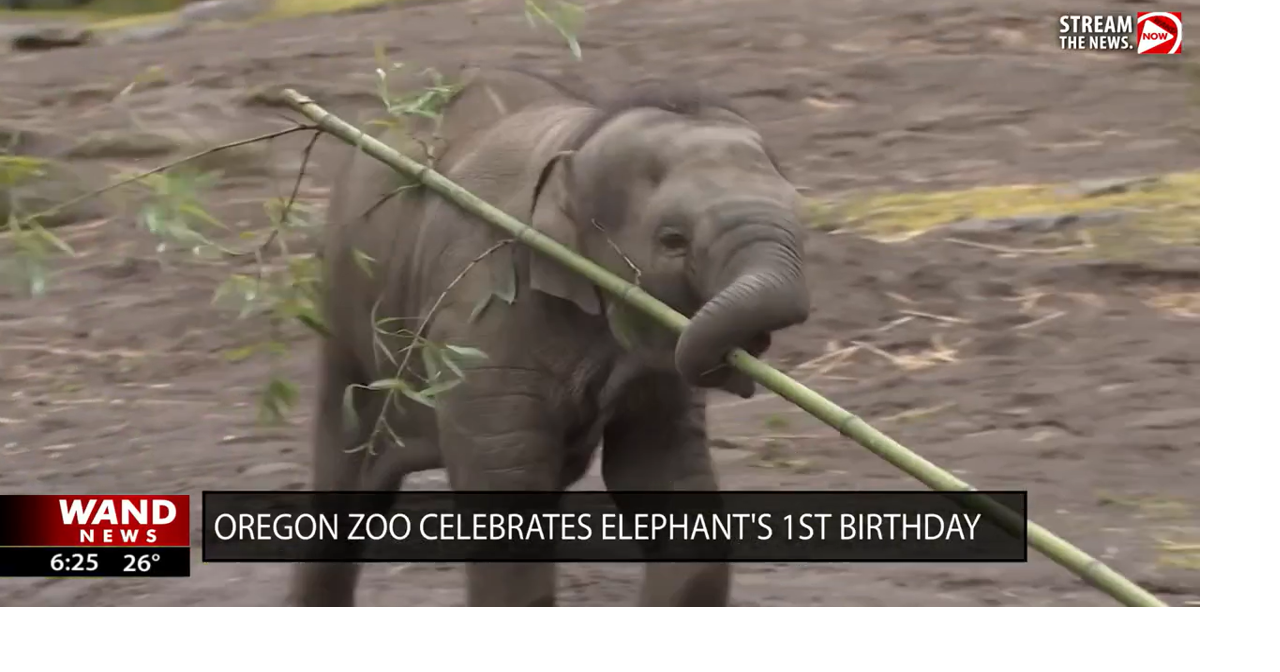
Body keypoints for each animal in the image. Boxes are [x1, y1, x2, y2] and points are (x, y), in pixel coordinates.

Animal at [289, 66, 812, 607]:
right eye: (673, 240)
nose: (741, 366)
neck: (577, 143)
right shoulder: (484, 319)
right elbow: (508, 500)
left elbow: (662, 472)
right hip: (347, 314)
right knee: (344, 473)